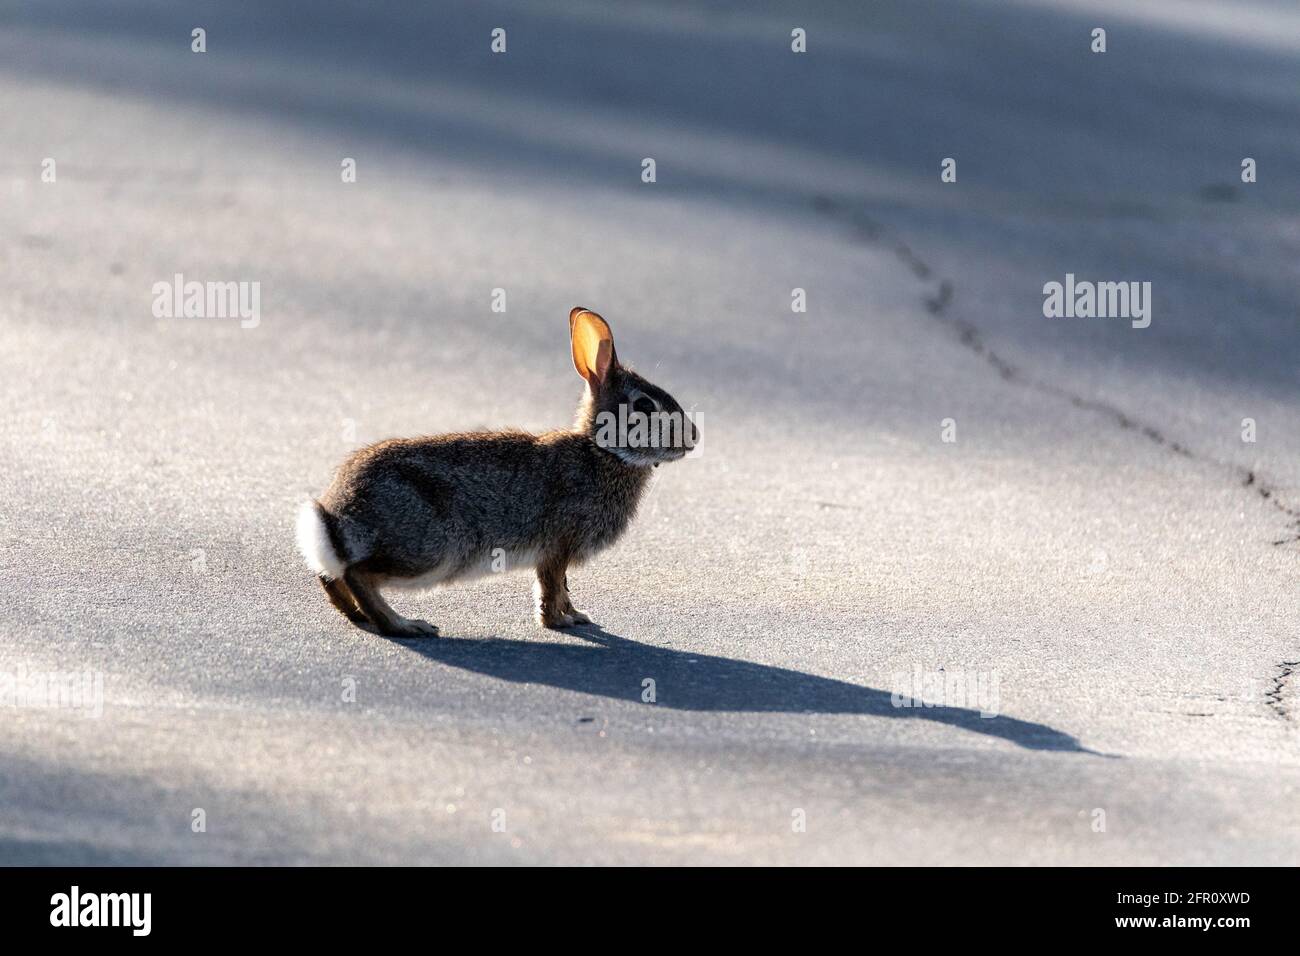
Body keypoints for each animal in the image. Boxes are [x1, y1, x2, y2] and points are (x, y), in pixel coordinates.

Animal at [296, 306, 702, 634]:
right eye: (645, 406)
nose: (693, 436)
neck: (602, 452)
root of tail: (334, 518)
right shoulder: (556, 545)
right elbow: (552, 585)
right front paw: (558, 622)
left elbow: (561, 586)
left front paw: (576, 616)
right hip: (431, 548)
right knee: (358, 574)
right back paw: (406, 625)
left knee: (335, 577)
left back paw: (360, 615)